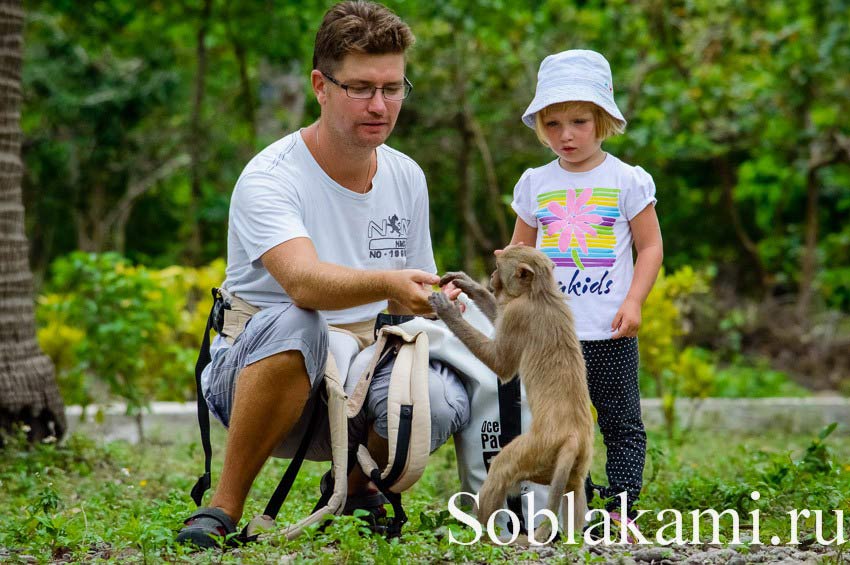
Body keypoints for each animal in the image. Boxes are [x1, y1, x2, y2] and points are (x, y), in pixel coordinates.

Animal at [428, 245, 592, 540]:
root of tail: (573, 436)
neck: (541, 292)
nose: (492, 277)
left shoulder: (518, 314)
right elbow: (497, 318)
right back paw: (572, 540)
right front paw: (469, 285)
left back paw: (483, 534)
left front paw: (448, 311)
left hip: (536, 450)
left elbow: (501, 365)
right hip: (577, 460)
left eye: (497, 266)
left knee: (502, 467)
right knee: (574, 489)